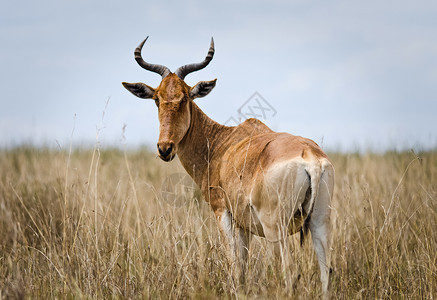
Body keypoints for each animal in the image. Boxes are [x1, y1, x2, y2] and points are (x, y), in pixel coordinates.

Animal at [122, 36, 334, 294]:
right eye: (157, 99)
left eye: (185, 97)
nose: (165, 148)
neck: (220, 142)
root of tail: (310, 157)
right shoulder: (244, 224)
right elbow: (242, 266)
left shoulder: (223, 212)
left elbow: (235, 265)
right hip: (320, 222)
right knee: (326, 274)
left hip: (276, 227)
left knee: (290, 273)